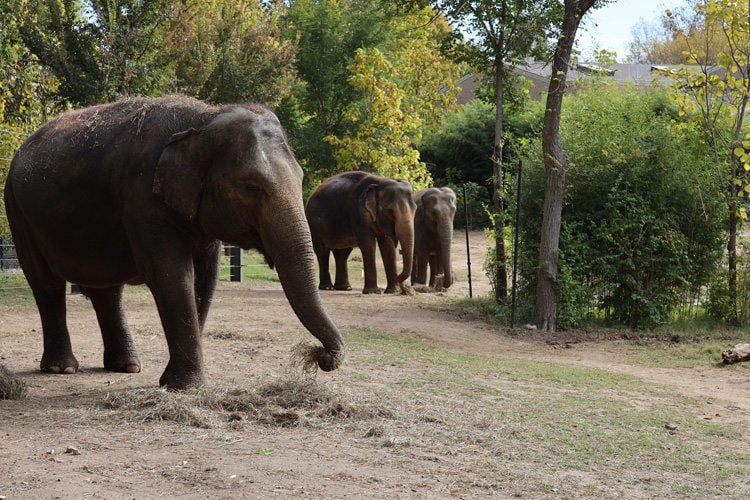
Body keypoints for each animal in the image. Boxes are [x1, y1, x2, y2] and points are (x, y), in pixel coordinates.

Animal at [4, 94, 346, 390]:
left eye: (301, 178)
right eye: (251, 186)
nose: (323, 357)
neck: (204, 118)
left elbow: (205, 280)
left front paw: (174, 381)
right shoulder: (143, 198)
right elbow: (171, 274)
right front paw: (186, 386)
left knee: (107, 290)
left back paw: (127, 366)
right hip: (18, 211)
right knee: (46, 283)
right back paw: (61, 368)